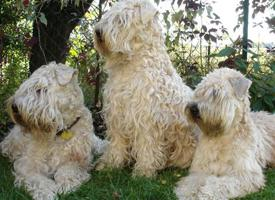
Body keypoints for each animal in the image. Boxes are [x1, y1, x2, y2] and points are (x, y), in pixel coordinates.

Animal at [0, 62, 107, 200]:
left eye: (40, 89)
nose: (14, 106)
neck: (60, 131)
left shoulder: (79, 161)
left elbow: (67, 171)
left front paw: (65, 184)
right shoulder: (27, 163)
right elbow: (37, 179)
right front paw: (46, 192)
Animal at [94, 0, 197, 177]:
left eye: (122, 20)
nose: (98, 32)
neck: (129, 66)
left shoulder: (146, 117)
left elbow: (147, 146)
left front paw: (144, 172)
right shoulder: (116, 113)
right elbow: (117, 143)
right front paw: (110, 165)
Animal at [176, 68, 275, 199]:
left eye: (215, 93)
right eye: (199, 91)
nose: (193, 108)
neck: (222, 137)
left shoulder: (245, 174)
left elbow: (220, 184)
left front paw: (205, 193)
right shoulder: (201, 168)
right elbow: (193, 181)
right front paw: (187, 192)